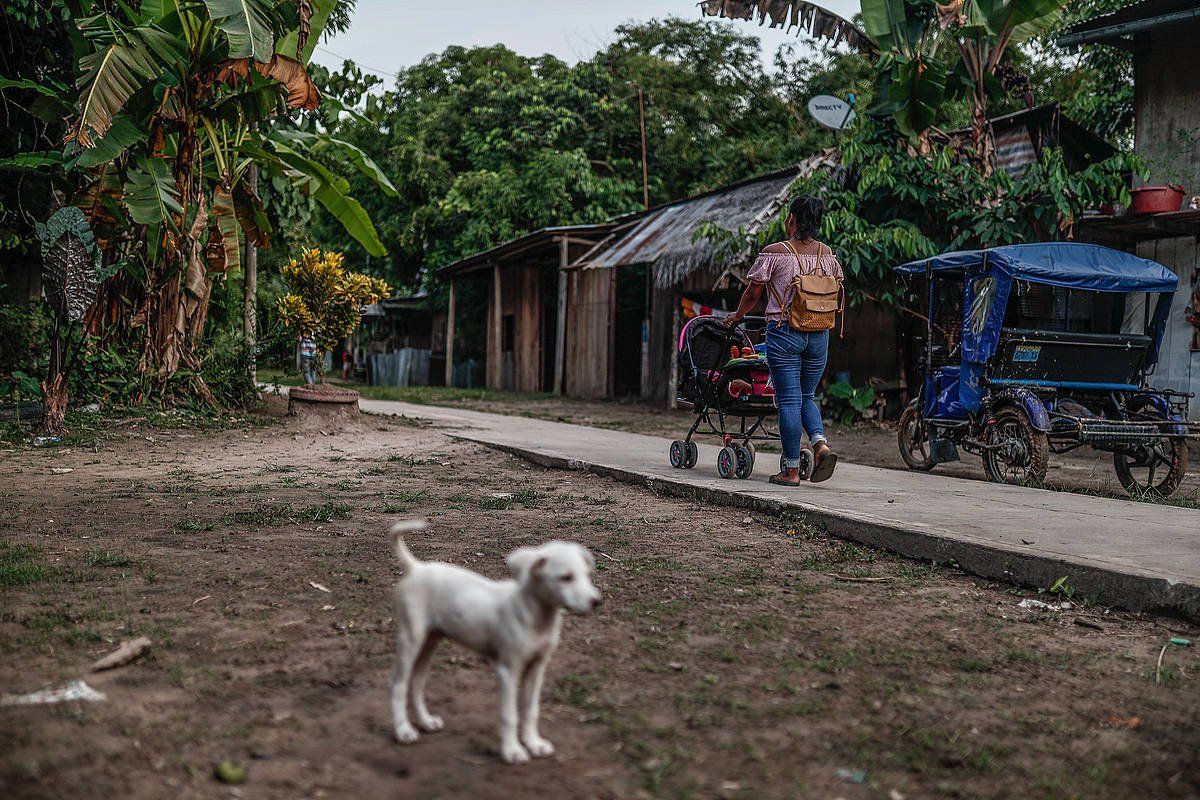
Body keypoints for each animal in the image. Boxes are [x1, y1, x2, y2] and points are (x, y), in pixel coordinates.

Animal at [391, 520, 604, 762]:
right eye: (566, 577)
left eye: (587, 575)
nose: (597, 601)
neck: (537, 618)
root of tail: (416, 568)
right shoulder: (508, 670)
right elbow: (509, 715)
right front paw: (512, 751)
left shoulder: (537, 668)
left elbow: (530, 710)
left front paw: (534, 744)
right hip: (410, 637)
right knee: (399, 684)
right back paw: (403, 730)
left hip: (431, 639)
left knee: (417, 681)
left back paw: (425, 721)